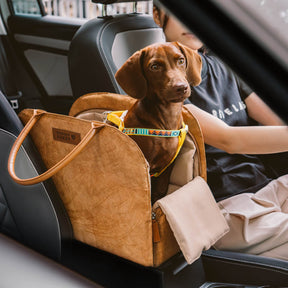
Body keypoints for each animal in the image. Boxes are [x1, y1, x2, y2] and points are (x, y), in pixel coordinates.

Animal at [113, 41, 201, 204]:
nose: (181, 87)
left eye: (181, 60)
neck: (166, 120)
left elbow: (160, 192)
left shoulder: (167, 167)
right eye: (154, 67)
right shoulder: (145, 166)